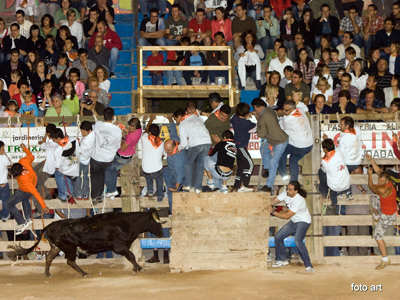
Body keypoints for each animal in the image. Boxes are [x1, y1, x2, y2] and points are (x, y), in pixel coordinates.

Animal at [7, 209, 166, 276]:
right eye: (156, 222)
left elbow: (131, 257)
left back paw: (47, 273)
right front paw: (139, 268)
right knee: (70, 261)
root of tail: (51, 225)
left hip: (57, 247)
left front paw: (136, 268)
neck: (126, 223)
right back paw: (84, 274)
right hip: (70, 248)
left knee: (49, 258)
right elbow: (132, 256)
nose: (161, 233)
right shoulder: (120, 246)